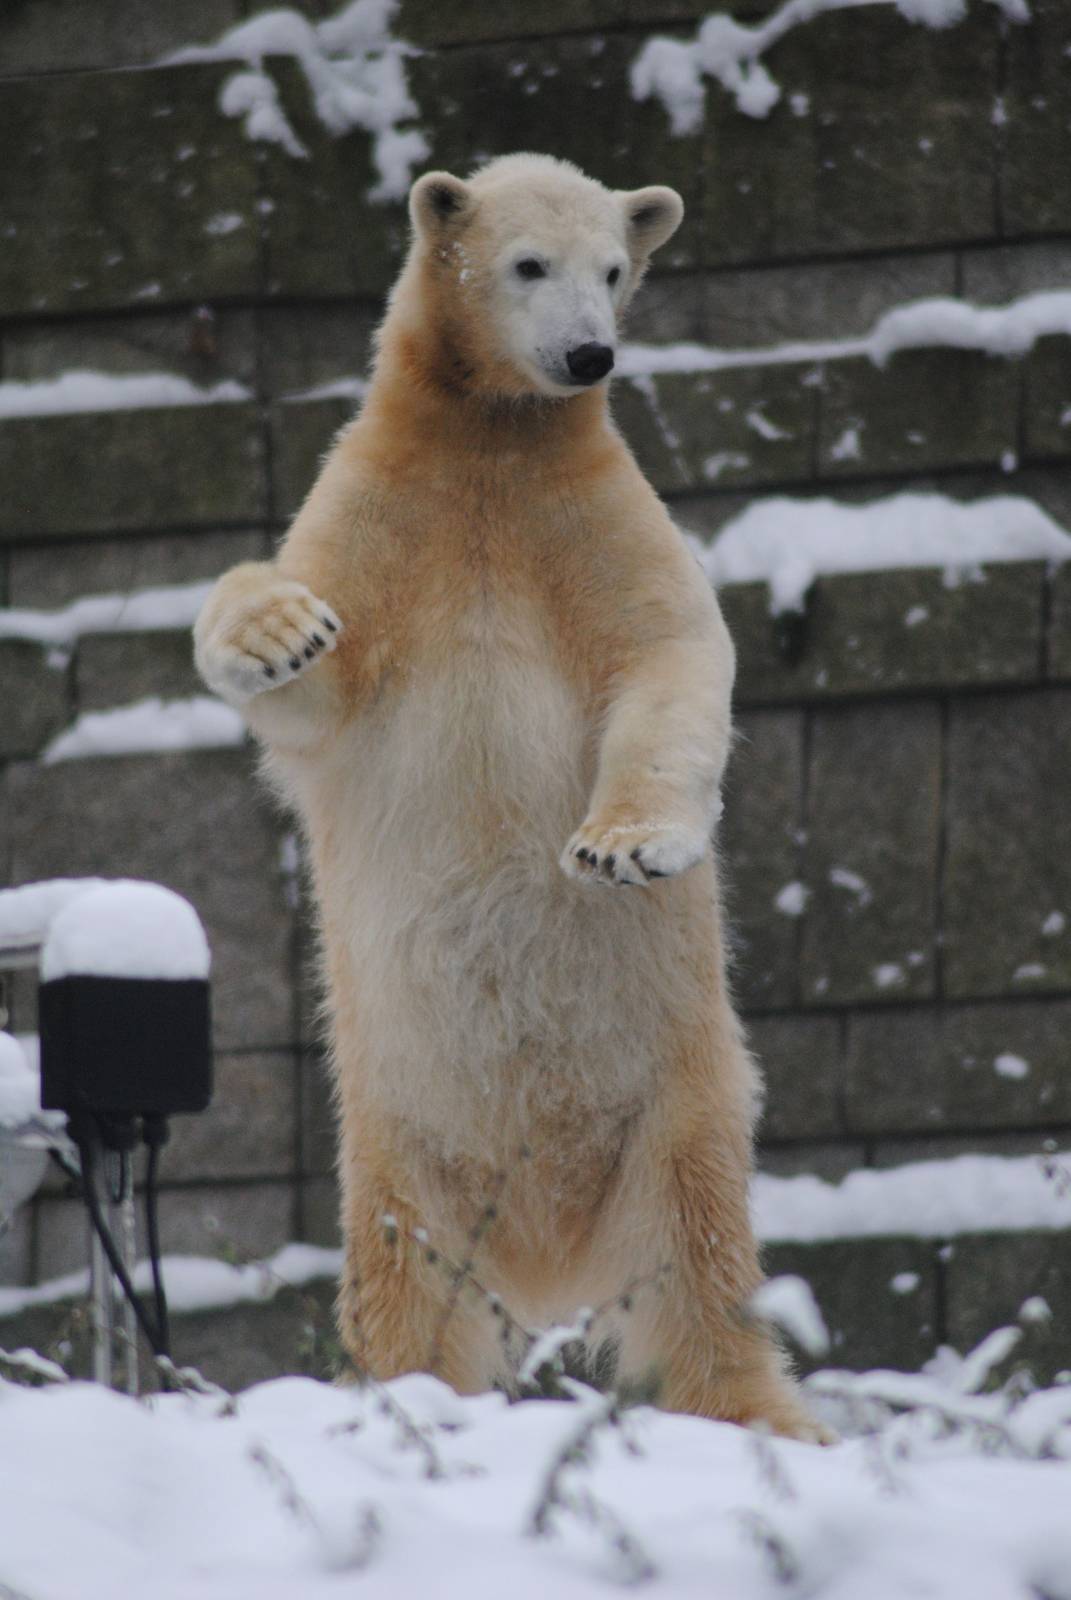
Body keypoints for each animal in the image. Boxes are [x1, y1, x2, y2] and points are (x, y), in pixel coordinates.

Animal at [194, 152, 823, 1440]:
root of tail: (548, 1254)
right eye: (529, 263)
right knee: (407, 1270)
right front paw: (281, 629)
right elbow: (310, 683)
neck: (491, 436)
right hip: (397, 1136)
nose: (589, 356)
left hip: (675, 1099)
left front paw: (624, 849)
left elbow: (670, 657)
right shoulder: (388, 508)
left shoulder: (585, 515)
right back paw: (403, 1399)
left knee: (701, 1266)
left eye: (616, 268)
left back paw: (765, 1415)